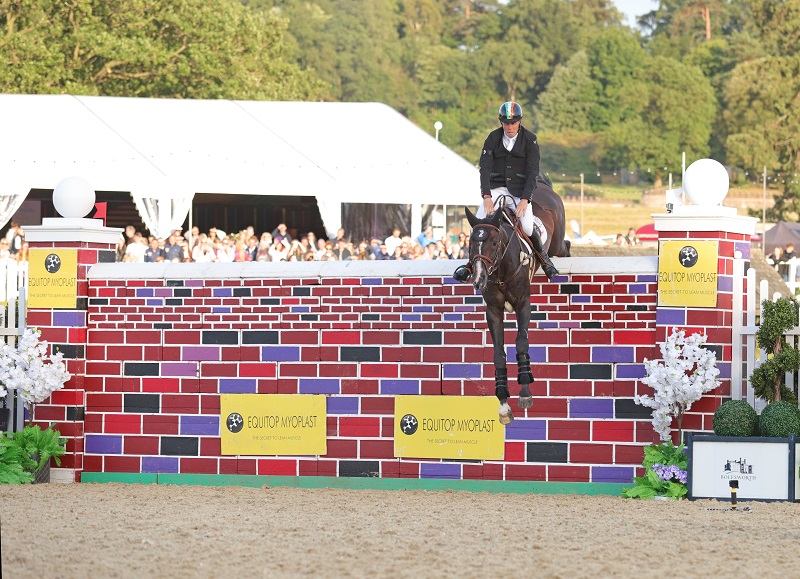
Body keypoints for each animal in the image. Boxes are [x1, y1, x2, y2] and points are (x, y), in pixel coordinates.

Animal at [466, 186, 572, 426]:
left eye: (494, 243)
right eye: (470, 244)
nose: (478, 279)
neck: (501, 270)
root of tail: (542, 186)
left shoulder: (524, 303)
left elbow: (521, 343)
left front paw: (524, 391)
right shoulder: (493, 311)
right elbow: (498, 354)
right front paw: (503, 404)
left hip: (557, 242)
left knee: (565, 246)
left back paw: (552, 264)